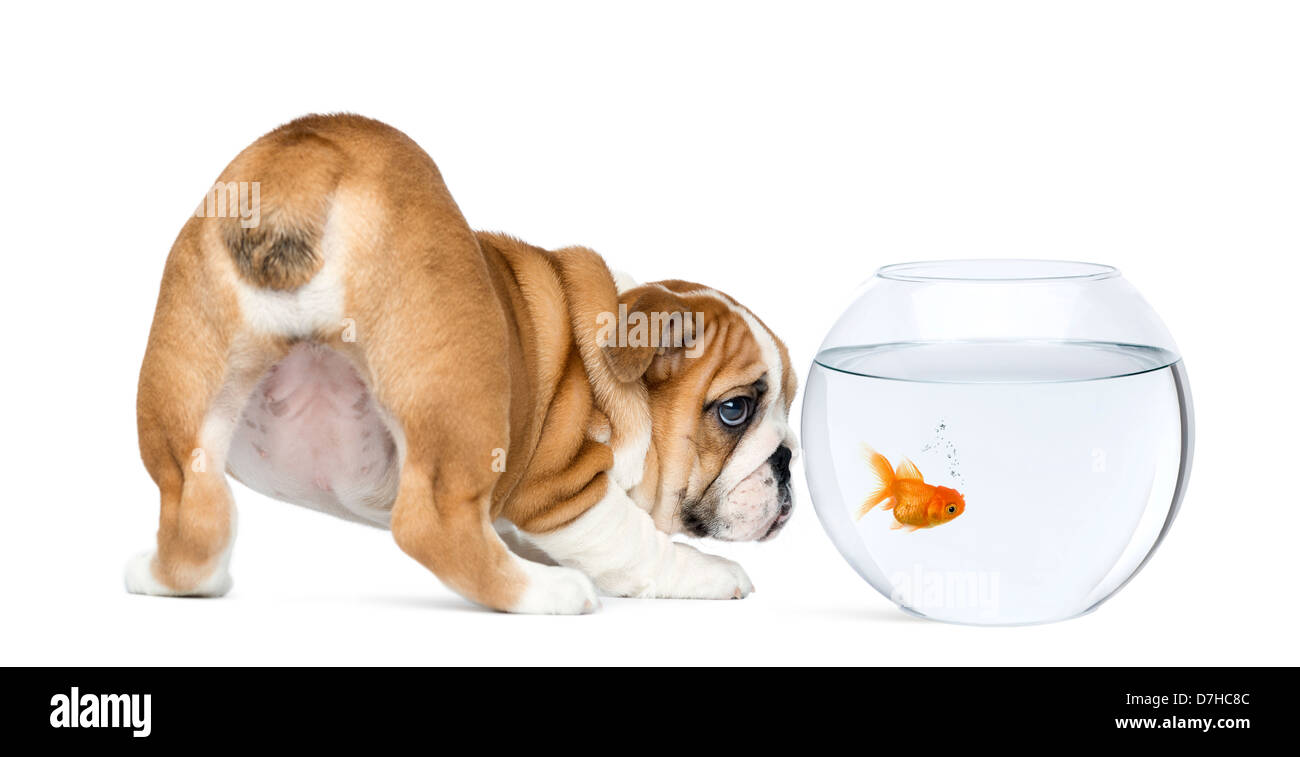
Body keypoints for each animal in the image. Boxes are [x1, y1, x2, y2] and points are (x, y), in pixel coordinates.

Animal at [126, 114, 795, 616]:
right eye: (734, 411)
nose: (789, 460)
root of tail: (309, 159)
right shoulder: (563, 485)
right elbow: (633, 543)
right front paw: (709, 574)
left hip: (188, 385)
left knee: (194, 509)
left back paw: (164, 576)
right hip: (463, 394)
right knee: (433, 523)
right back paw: (548, 593)